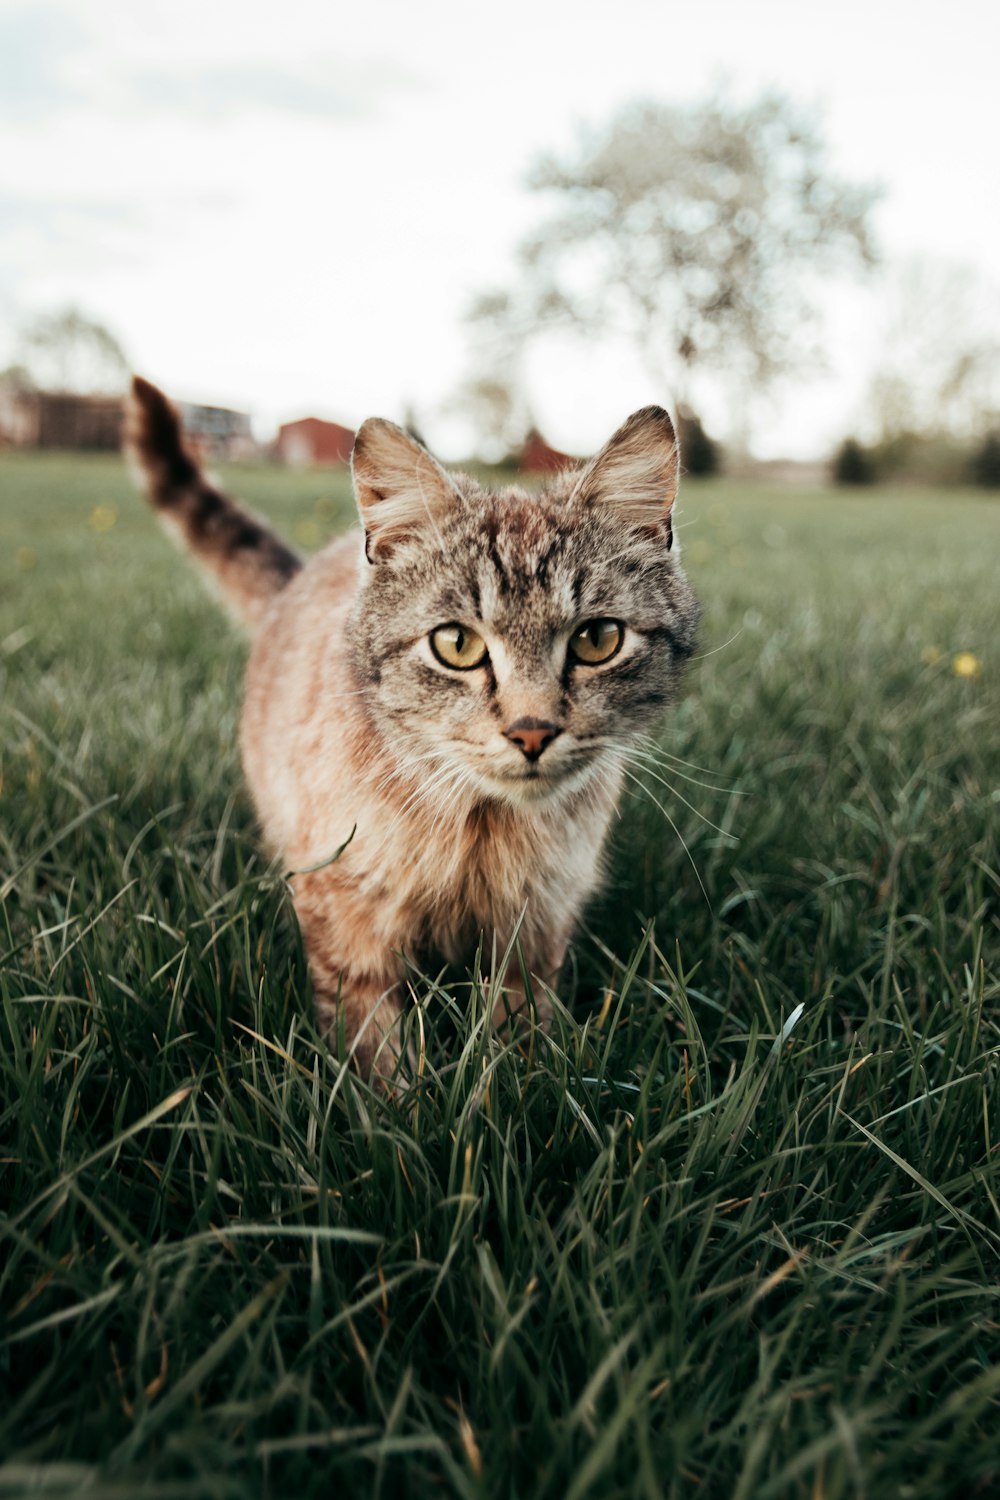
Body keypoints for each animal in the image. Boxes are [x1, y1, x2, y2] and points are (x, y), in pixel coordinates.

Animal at [122, 375, 695, 1080]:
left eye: (597, 640)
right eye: (456, 644)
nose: (532, 732)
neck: (479, 829)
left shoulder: (537, 923)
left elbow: (518, 1033)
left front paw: (517, 1084)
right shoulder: (343, 908)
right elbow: (370, 1039)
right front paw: (392, 1101)